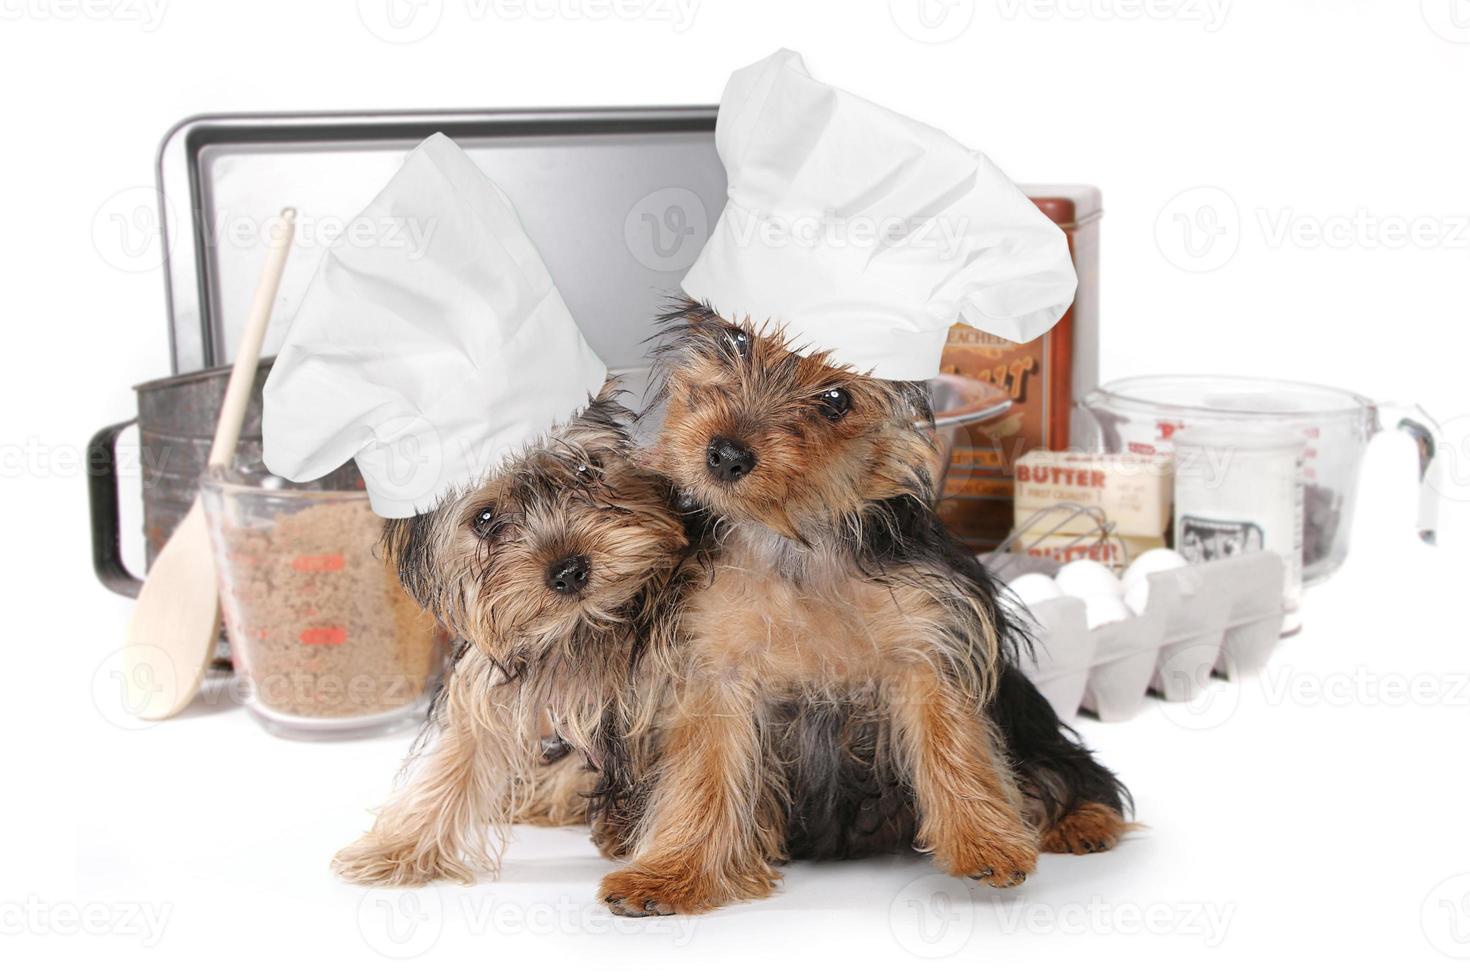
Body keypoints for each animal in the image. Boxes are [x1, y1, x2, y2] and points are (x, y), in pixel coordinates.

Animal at [330, 390, 685, 887]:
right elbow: (460, 754)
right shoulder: (489, 679)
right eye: (485, 518)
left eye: (586, 470)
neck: (579, 629)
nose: (569, 570)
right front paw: (397, 848)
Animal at [590, 302, 1128, 916]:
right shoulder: (711, 663)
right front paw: (670, 874)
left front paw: (982, 838)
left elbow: (953, 735)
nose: (725, 454)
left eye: (835, 400)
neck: (795, 535)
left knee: (1060, 767)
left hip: (1026, 716)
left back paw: (1084, 820)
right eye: (737, 340)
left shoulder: (931, 628)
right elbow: (704, 769)